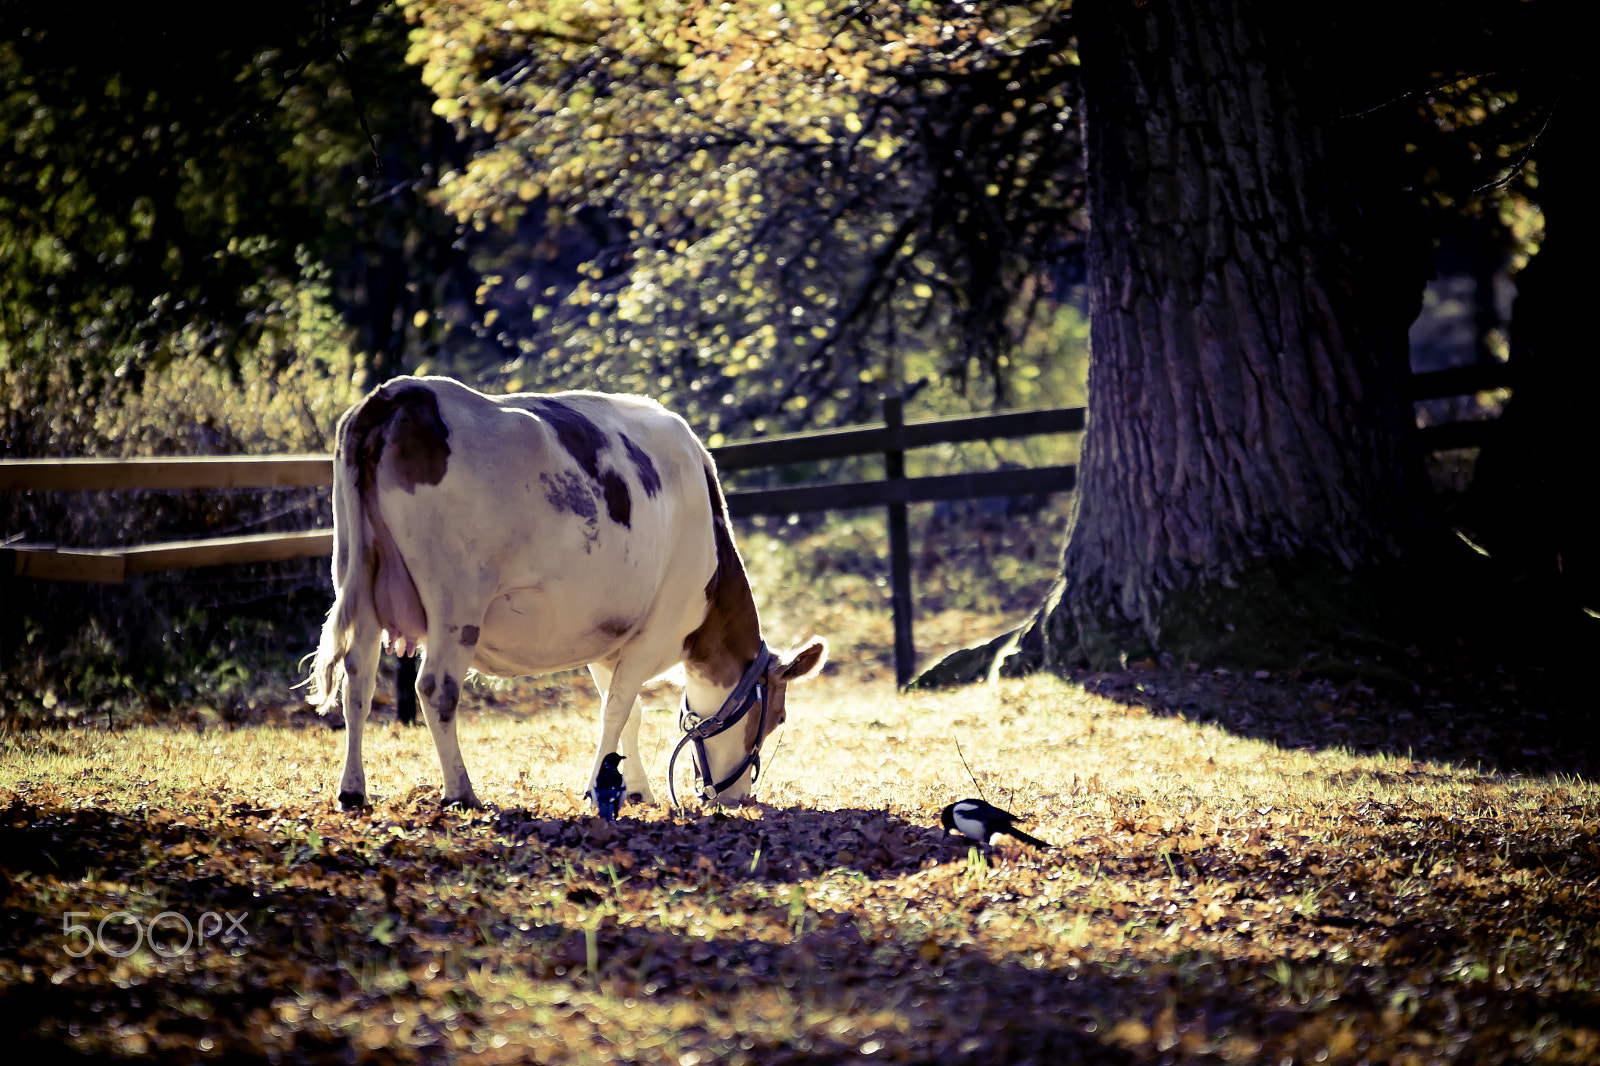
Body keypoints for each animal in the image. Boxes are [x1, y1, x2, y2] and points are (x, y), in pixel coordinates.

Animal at [305, 372, 825, 806]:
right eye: (777, 718)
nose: (736, 799)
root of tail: (401, 393)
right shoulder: (653, 631)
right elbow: (616, 711)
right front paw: (597, 789)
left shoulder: (603, 637)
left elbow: (630, 714)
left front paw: (636, 790)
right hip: (457, 603)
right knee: (436, 688)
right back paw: (461, 793)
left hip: (358, 575)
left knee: (358, 678)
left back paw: (352, 791)